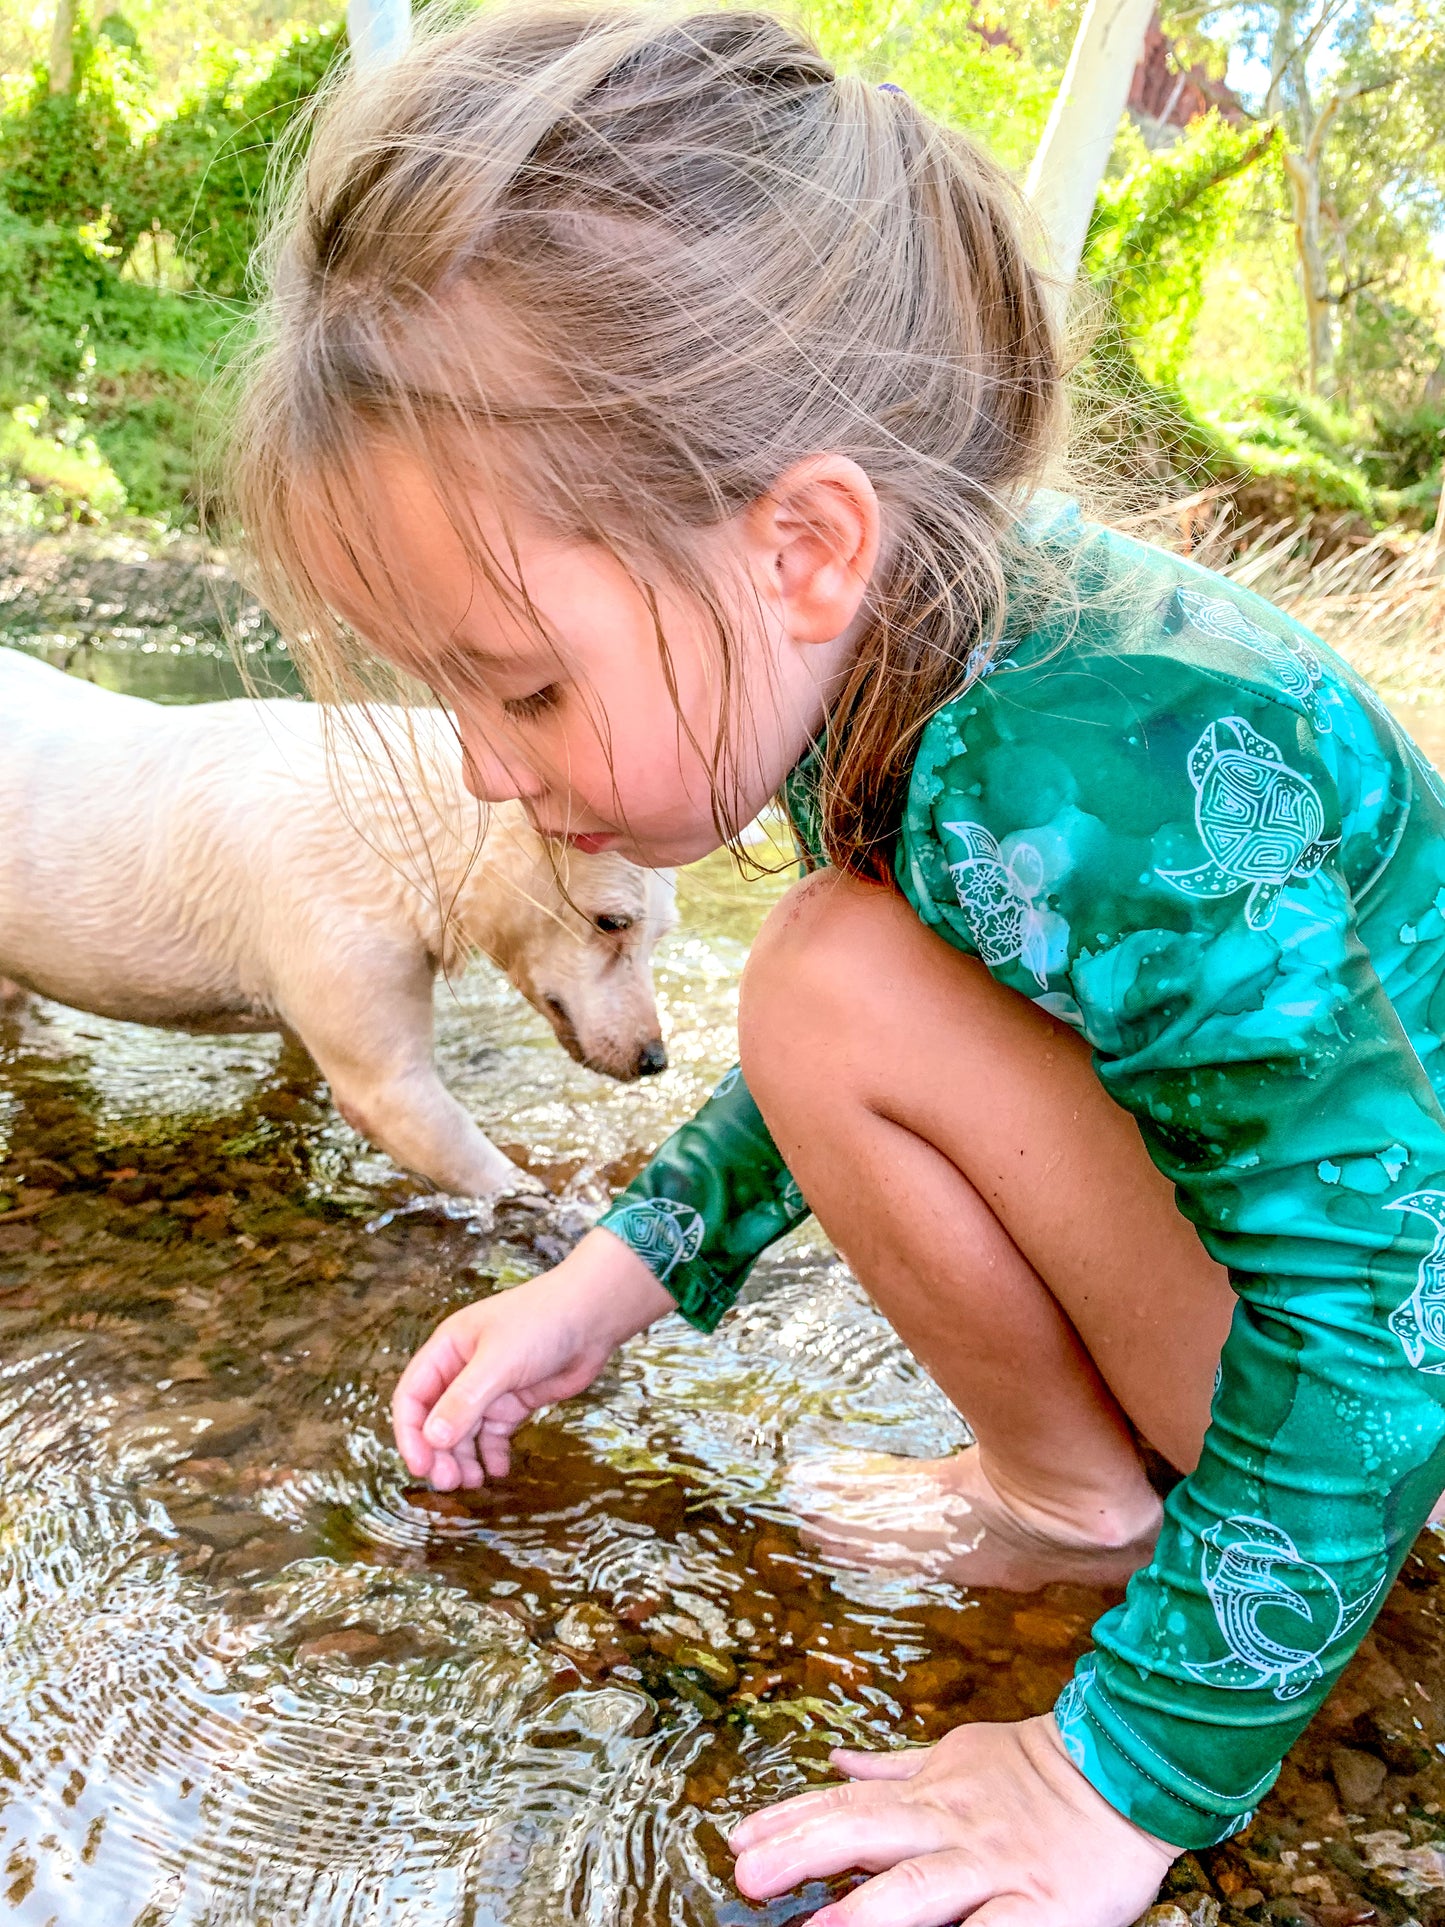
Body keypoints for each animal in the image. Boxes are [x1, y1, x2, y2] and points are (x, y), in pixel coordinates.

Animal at [0, 647, 678, 1187]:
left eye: (660, 936)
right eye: (611, 922)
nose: (654, 1060)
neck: (407, 837)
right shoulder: (382, 1061)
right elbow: (488, 1169)